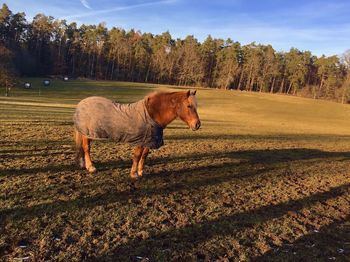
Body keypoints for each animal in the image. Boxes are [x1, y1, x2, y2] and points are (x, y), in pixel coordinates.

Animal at [72, 89, 201, 178]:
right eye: (189, 106)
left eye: (196, 106)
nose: (197, 124)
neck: (151, 114)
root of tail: (81, 103)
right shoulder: (140, 140)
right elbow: (137, 155)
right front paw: (133, 174)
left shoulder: (148, 140)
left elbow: (144, 155)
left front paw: (140, 171)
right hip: (87, 133)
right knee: (86, 148)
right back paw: (91, 167)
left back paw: (83, 164)